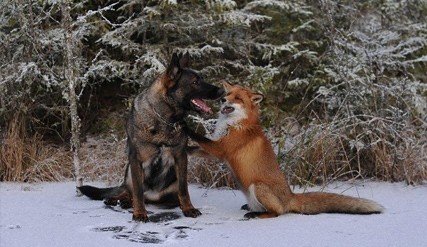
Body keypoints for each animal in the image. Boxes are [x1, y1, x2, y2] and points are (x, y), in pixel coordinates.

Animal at [78, 52, 224, 222]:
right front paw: (140, 213)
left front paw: (188, 208)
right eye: (195, 82)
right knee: (129, 192)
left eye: (202, 79)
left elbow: (184, 190)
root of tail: (152, 196)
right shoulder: (136, 159)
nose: (222, 91)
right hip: (129, 172)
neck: (165, 120)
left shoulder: (181, 157)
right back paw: (118, 200)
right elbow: (138, 192)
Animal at [188, 81, 384, 218]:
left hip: (258, 187)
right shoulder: (217, 152)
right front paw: (187, 151)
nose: (222, 99)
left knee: (277, 213)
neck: (236, 124)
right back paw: (250, 207)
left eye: (238, 99)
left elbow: (199, 137)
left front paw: (184, 126)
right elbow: (196, 148)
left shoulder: (221, 149)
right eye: (228, 94)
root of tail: (290, 196)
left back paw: (255, 214)